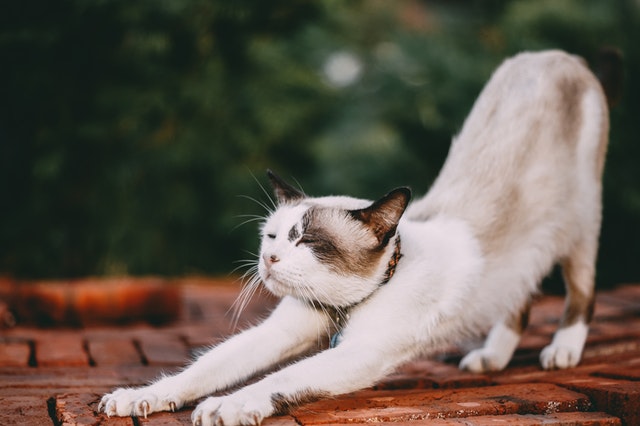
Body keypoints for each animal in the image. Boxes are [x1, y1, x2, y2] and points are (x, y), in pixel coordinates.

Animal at [97, 50, 612, 426]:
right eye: (272, 237)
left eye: (306, 241)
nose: (269, 260)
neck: (340, 307)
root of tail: (556, 55)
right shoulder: (280, 332)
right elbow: (200, 370)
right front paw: (137, 398)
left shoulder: (361, 353)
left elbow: (280, 379)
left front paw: (227, 406)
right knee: (520, 295)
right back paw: (491, 358)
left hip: (579, 227)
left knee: (581, 292)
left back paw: (562, 351)